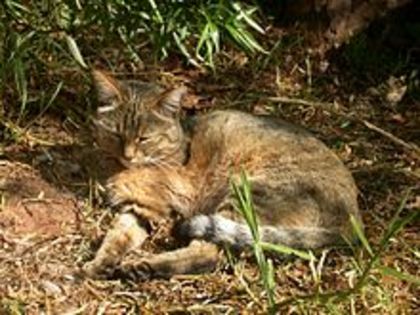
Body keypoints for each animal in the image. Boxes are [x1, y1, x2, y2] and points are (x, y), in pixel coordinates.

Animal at [81, 70, 360, 280]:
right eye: (116, 135)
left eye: (144, 138)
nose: (128, 156)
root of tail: (353, 218)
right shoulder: (141, 212)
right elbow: (117, 236)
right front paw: (98, 264)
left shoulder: (184, 184)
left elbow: (149, 177)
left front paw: (118, 183)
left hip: (244, 193)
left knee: (209, 253)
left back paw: (144, 266)